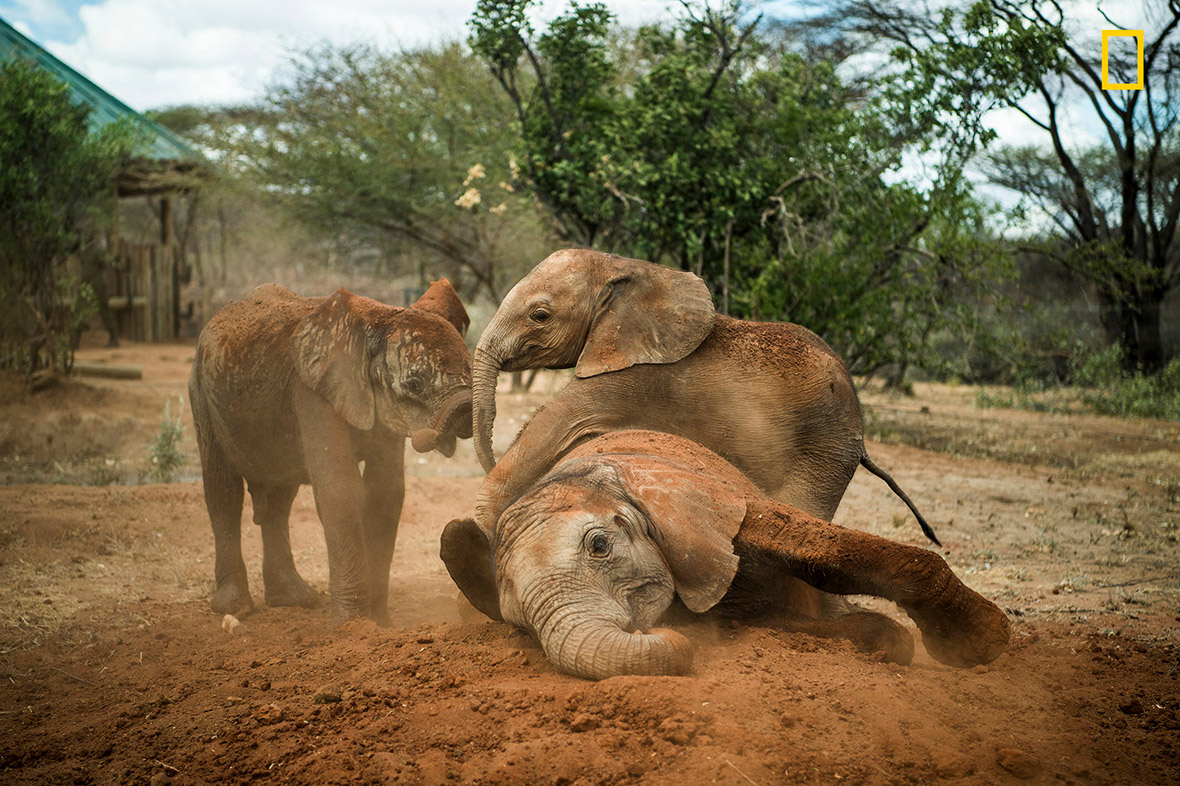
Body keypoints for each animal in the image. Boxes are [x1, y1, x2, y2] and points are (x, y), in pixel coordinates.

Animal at [191, 278, 471, 623]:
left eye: (470, 368)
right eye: (414, 384)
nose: (465, 408)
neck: (377, 321)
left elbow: (386, 492)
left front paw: (380, 623)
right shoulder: (312, 392)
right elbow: (340, 490)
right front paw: (352, 626)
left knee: (279, 499)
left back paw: (294, 600)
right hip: (201, 393)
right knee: (224, 491)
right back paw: (235, 608)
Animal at [438, 424, 1010, 675]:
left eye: (599, 545)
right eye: (520, 625)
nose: (660, 634)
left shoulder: (701, 503)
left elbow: (820, 551)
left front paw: (979, 645)